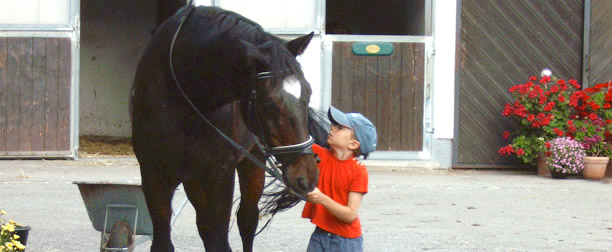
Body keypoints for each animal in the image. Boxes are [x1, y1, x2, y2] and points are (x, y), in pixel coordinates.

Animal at [130, 3, 330, 252]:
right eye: (270, 104)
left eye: (308, 93)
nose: (307, 178)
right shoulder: (154, 175)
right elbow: (164, 241)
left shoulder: (220, 176)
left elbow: (220, 240)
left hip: (251, 161)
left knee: (246, 220)